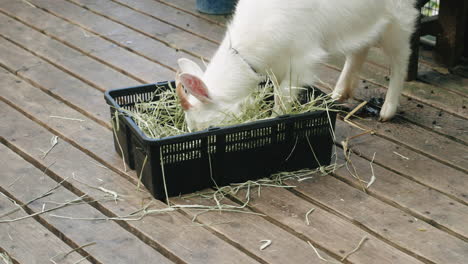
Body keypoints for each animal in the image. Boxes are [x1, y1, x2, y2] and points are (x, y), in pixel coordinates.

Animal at [177, 0, 418, 131]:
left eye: (209, 127)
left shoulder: (302, 60)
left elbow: (282, 97)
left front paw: (275, 119)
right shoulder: (278, 64)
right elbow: (276, 90)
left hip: (399, 17)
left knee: (401, 58)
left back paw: (387, 110)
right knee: (360, 48)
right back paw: (339, 93)